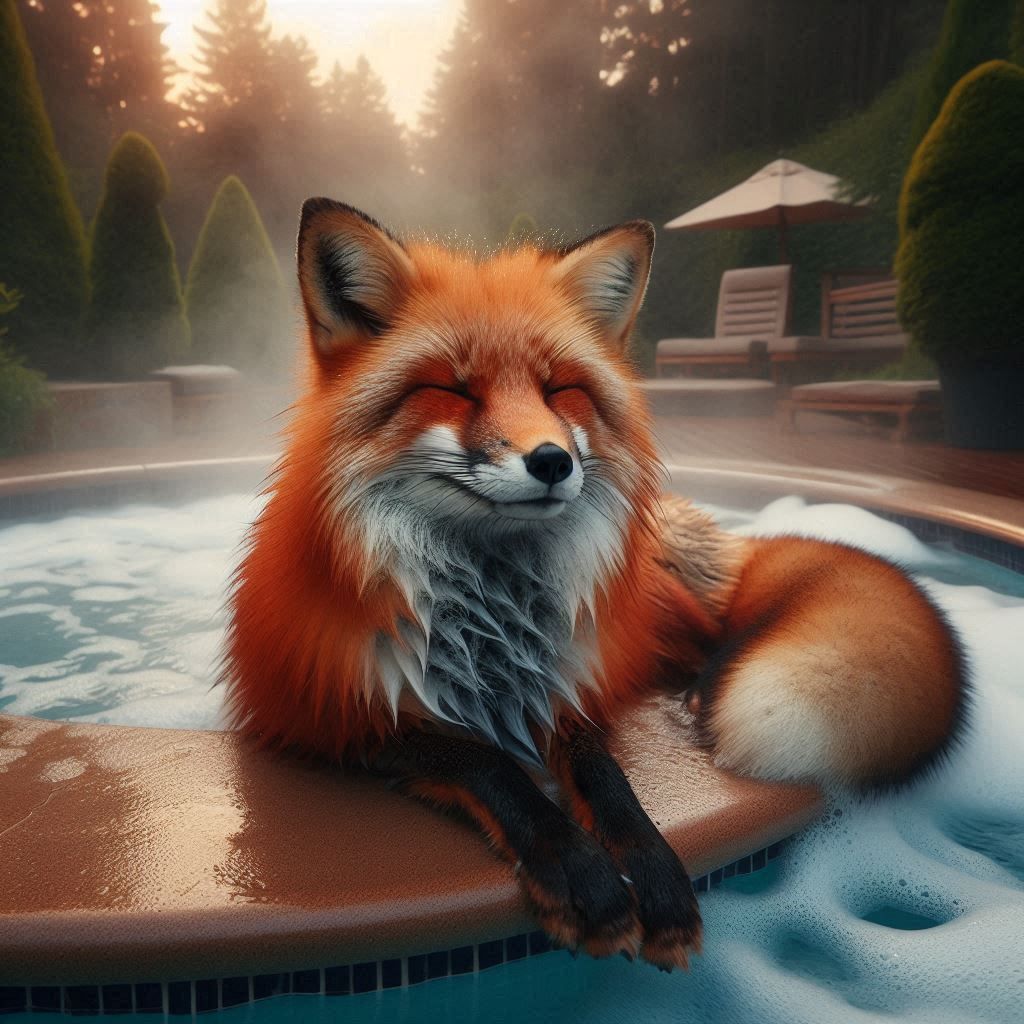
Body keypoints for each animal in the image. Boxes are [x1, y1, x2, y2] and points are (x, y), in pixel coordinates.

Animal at [222, 198, 968, 971]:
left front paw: (652, 870)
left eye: (561, 389)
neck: (491, 619)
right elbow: (490, 766)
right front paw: (578, 872)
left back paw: (699, 690)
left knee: (722, 633)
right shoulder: (331, 720)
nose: (552, 461)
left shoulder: (574, 681)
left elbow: (607, 781)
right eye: (454, 389)